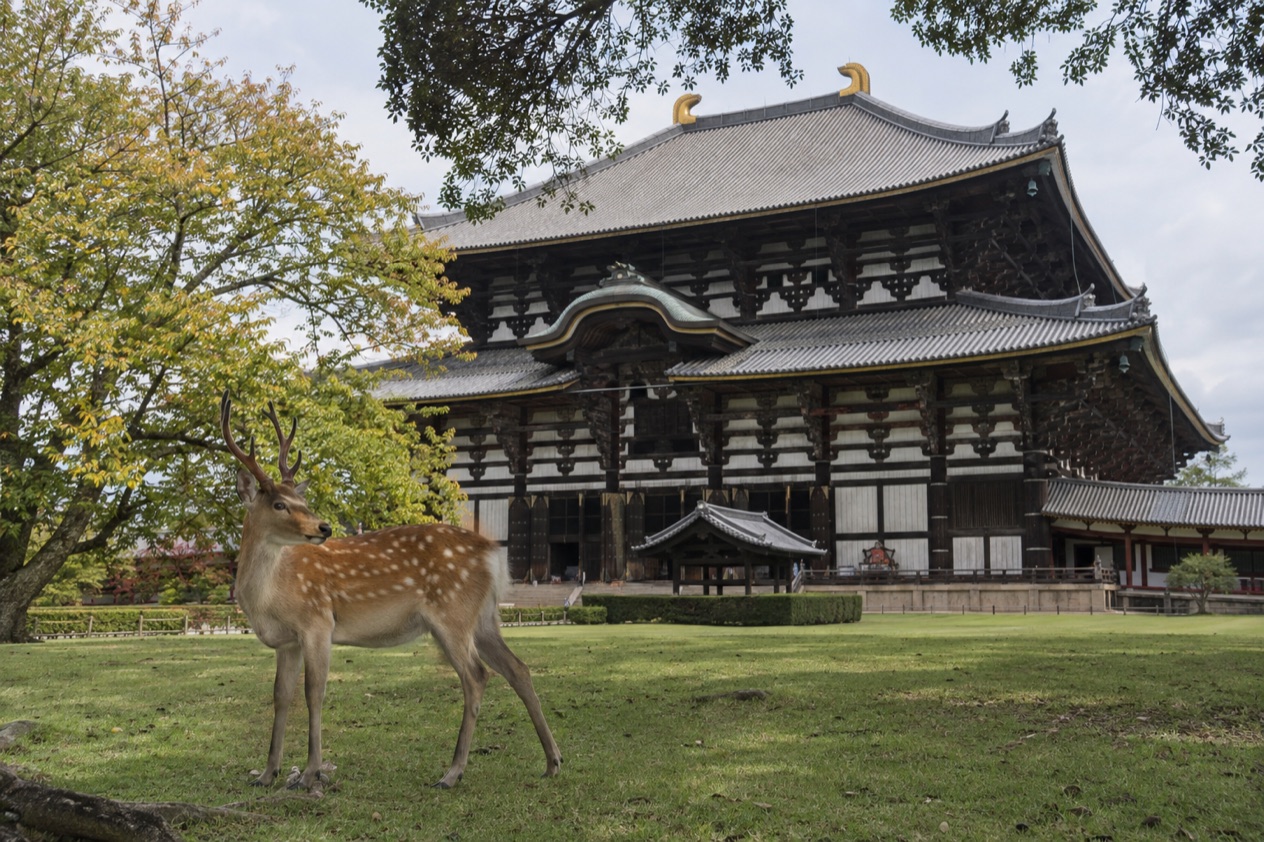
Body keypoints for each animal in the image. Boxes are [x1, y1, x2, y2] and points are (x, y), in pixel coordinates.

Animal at [219, 391, 562, 790]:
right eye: (279, 504)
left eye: (303, 503)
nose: (324, 527)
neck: (269, 600)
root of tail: (493, 552)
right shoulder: (286, 641)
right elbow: (280, 696)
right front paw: (267, 773)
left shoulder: (317, 622)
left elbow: (314, 693)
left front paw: (309, 773)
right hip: (485, 617)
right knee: (518, 668)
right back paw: (552, 761)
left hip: (452, 612)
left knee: (476, 676)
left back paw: (452, 772)